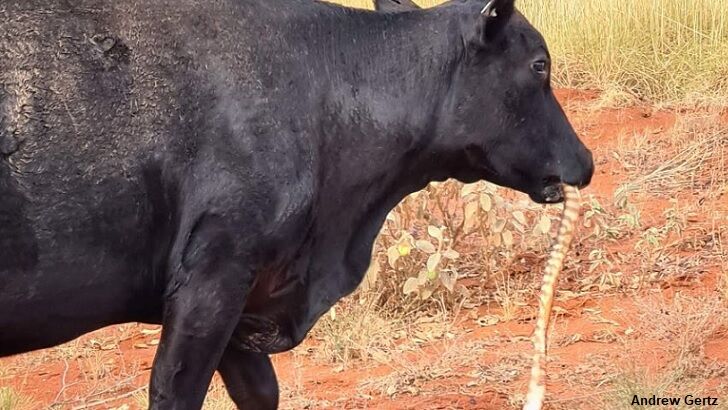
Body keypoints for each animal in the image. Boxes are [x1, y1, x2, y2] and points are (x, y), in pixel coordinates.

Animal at [0, 0, 592, 408]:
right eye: (540, 65)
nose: (585, 160)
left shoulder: (242, 301)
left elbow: (262, 392)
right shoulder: (213, 276)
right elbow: (174, 390)